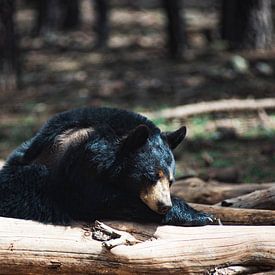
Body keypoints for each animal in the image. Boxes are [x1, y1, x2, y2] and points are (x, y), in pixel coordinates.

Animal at [0, 108, 213, 226]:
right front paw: (202, 216)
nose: (163, 205)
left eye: (171, 181)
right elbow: (105, 200)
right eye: (152, 176)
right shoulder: (80, 164)